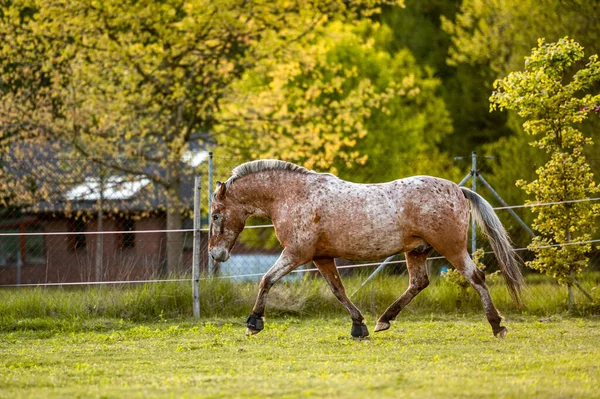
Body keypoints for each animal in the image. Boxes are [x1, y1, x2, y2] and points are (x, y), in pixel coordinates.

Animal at [209, 159, 524, 338]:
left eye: (214, 215)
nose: (216, 254)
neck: (292, 196)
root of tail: (459, 190)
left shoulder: (296, 254)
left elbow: (266, 280)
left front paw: (253, 322)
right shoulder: (322, 258)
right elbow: (338, 291)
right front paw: (358, 326)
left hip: (452, 248)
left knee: (476, 278)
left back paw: (497, 325)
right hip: (417, 251)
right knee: (418, 283)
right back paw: (383, 320)